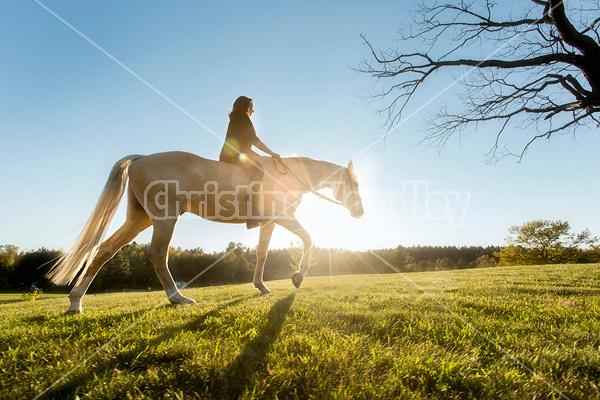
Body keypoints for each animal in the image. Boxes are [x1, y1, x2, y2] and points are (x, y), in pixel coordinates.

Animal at [47, 152, 364, 314]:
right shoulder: (284, 217)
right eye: (356, 183)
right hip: (164, 218)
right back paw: (177, 297)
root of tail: (142, 158)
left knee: (105, 250)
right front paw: (298, 276)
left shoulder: (269, 222)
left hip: (140, 219)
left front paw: (261, 286)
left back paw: (75, 303)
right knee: (157, 254)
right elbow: (309, 238)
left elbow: (261, 254)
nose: (360, 212)